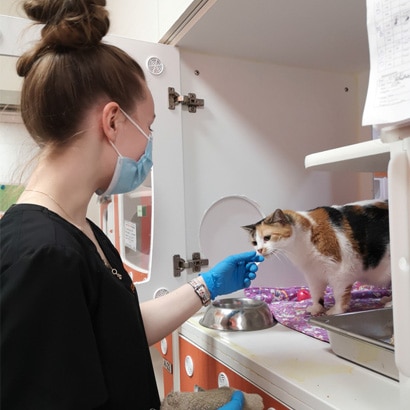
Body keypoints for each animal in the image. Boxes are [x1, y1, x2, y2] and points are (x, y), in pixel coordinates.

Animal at [243, 200, 390, 316]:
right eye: (254, 242)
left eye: (267, 238)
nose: (259, 250)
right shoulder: (312, 273)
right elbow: (315, 292)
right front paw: (316, 308)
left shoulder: (341, 271)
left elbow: (339, 293)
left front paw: (337, 310)